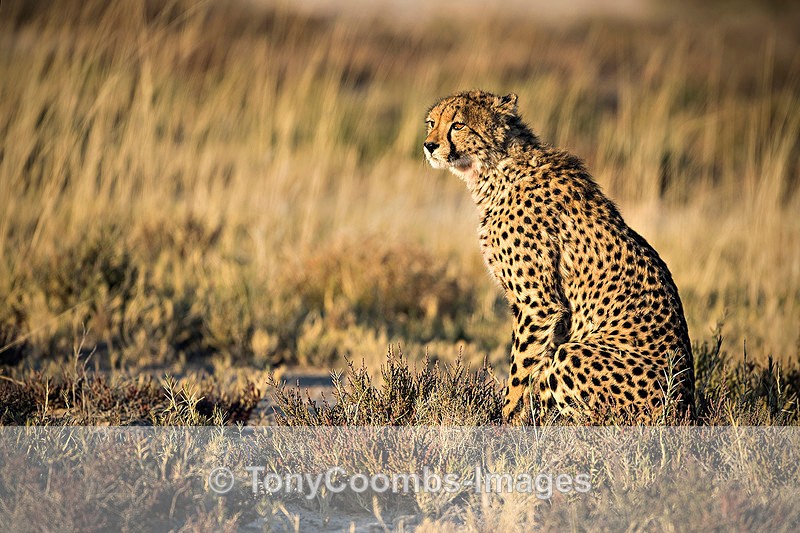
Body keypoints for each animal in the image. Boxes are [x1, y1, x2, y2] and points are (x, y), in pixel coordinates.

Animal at [423, 89, 694, 423]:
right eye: (432, 123)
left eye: (458, 125)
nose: (429, 145)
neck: (495, 170)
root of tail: (685, 409)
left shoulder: (538, 304)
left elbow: (521, 370)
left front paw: (505, 418)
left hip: (576, 356)